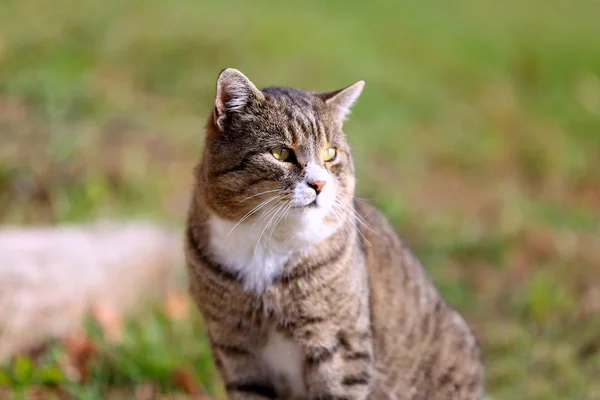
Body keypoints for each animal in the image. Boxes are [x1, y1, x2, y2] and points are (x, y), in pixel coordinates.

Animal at [185, 69, 486, 400]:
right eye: (280, 152)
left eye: (330, 153)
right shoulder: (234, 348)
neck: (269, 245)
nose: (319, 184)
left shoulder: (340, 346)